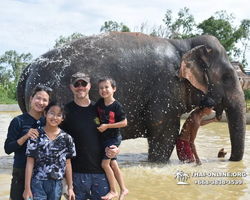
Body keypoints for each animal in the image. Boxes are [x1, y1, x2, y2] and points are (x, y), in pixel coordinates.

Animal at [17, 31, 246, 162]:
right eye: (226, 77)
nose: (225, 156)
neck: (184, 44)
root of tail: (28, 68)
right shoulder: (165, 89)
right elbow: (163, 131)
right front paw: (157, 164)